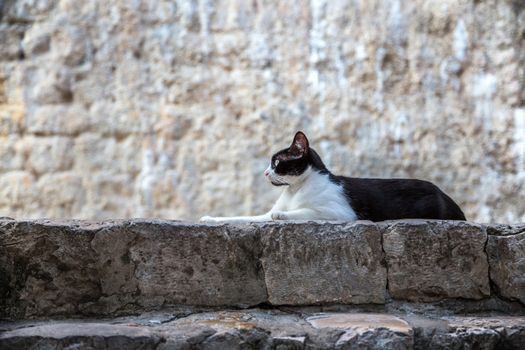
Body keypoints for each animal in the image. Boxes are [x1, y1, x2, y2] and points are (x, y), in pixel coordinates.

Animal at [199, 131, 464, 224]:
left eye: (276, 163)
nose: (265, 172)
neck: (295, 190)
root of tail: (444, 193)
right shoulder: (260, 215)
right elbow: (240, 217)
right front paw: (210, 218)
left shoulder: (340, 212)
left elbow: (301, 212)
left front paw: (282, 215)